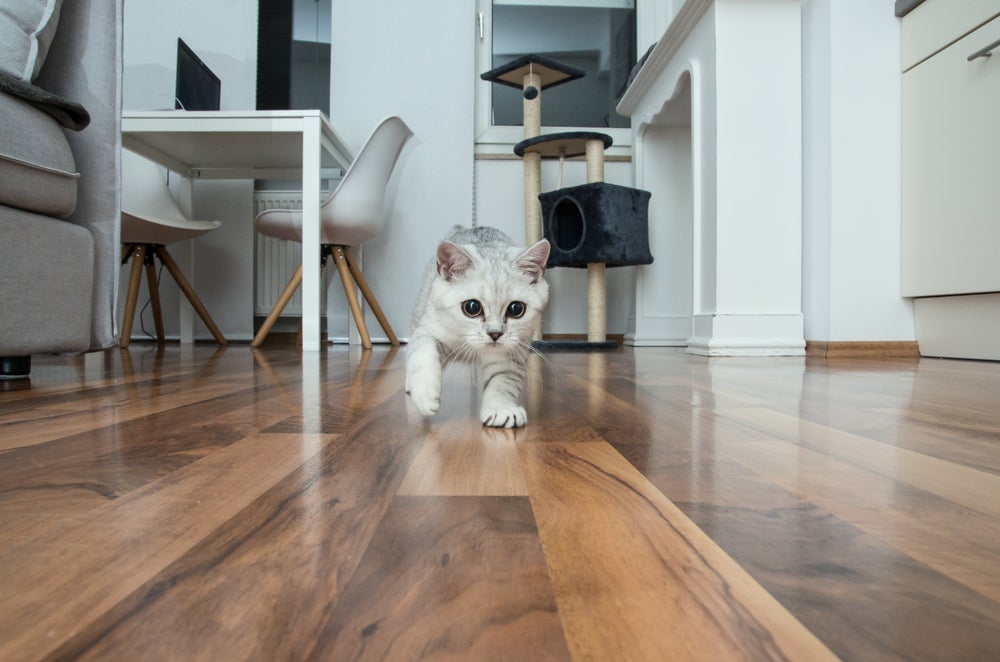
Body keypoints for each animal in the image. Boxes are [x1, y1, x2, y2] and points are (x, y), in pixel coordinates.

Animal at [402, 226, 552, 428]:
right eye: (472, 307)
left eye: (516, 309)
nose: (495, 334)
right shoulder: (429, 328)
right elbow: (423, 354)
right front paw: (425, 394)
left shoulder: (511, 352)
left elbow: (502, 380)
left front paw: (501, 409)